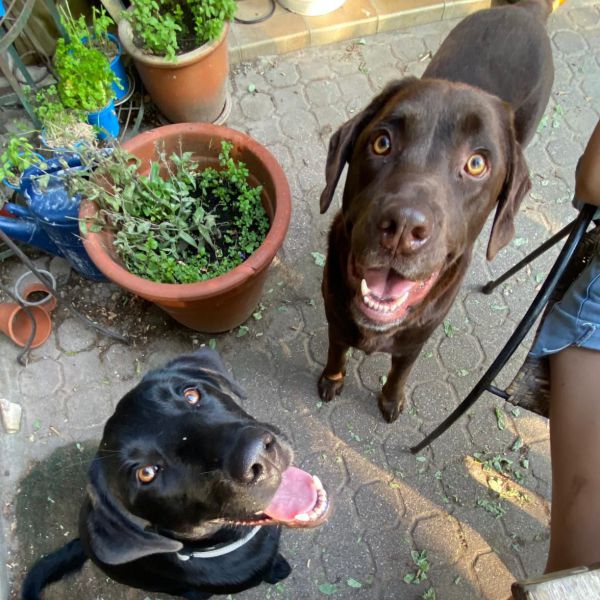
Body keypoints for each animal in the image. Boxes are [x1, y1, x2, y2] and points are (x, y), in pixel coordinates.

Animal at [318, 0, 556, 422]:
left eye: (477, 164)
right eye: (381, 142)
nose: (402, 227)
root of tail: (523, 10)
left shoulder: (416, 341)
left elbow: (400, 371)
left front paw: (391, 399)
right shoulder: (336, 317)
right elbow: (336, 350)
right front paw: (332, 379)